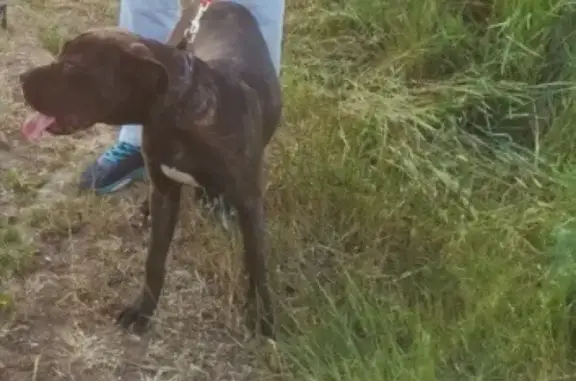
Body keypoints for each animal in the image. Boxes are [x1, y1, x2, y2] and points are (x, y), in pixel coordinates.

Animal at [20, 1, 284, 336]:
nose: (21, 77)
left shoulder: (250, 205)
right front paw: (143, 310)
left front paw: (263, 317)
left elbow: (256, 264)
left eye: (71, 66)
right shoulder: (166, 193)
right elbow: (154, 259)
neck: (177, 111)